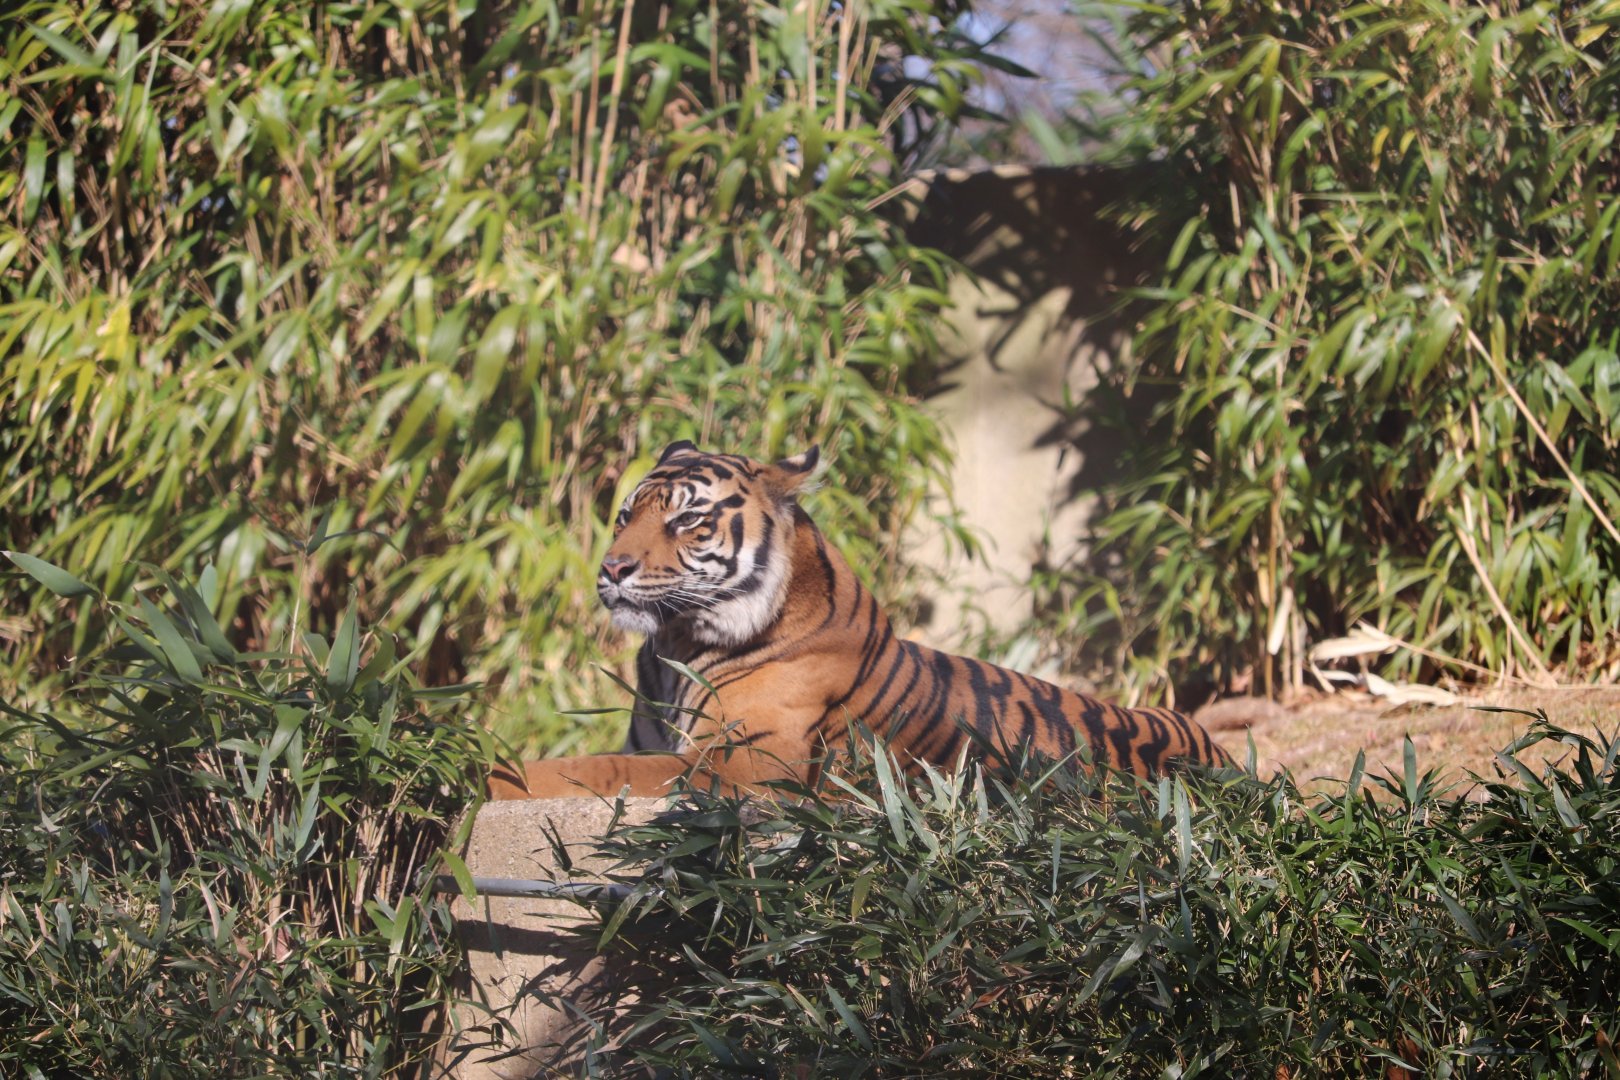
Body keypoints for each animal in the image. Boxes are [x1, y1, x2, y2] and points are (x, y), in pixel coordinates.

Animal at [488, 442, 1231, 800]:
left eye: (688, 520)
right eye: (624, 517)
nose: (611, 568)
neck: (674, 646)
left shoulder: (740, 762)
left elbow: (589, 769)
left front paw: (490, 776)